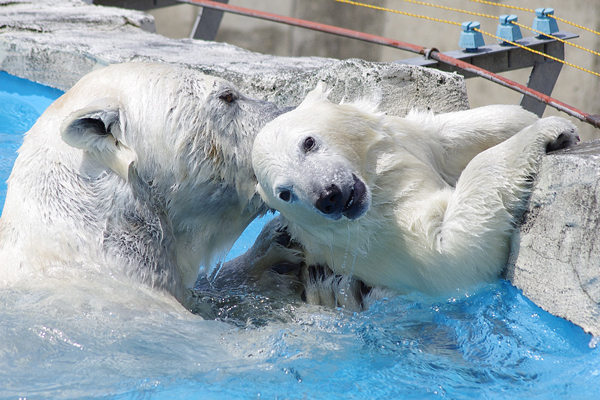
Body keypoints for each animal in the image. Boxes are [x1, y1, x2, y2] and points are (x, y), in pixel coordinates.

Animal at [251, 82, 580, 300]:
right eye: (285, 193)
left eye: (308, 142)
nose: (329, 196)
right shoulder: (390, 244)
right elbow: (452, 258)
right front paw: (550, 130)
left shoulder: (411, 143)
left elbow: (450, 138)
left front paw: (543, 125)